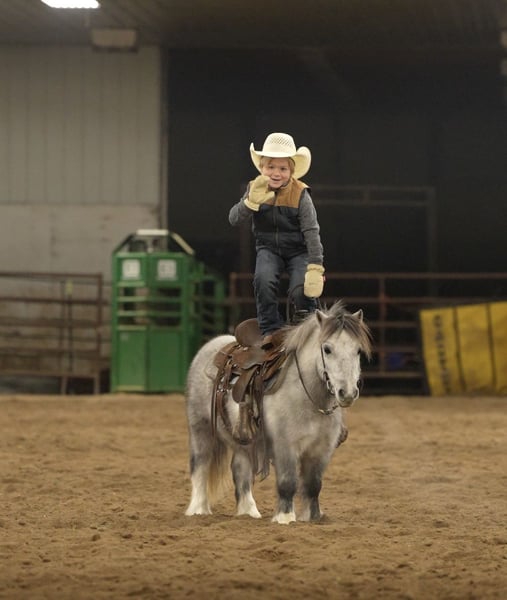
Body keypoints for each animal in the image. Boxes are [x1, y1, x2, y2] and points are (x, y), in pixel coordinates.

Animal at [184, 301, 372, 524]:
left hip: (243, 442)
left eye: (358, 350)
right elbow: (287, 481)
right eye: (327, 349)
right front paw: (285, 517)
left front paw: (313, 517)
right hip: (200, 429)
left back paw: (249, 511)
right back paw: (197, 509)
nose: (347, 393)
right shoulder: (285, 446)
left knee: (240, 470)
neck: (307, 398)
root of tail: (211, 346)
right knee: (200, 466)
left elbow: (314, 484)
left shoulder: (321, 449)